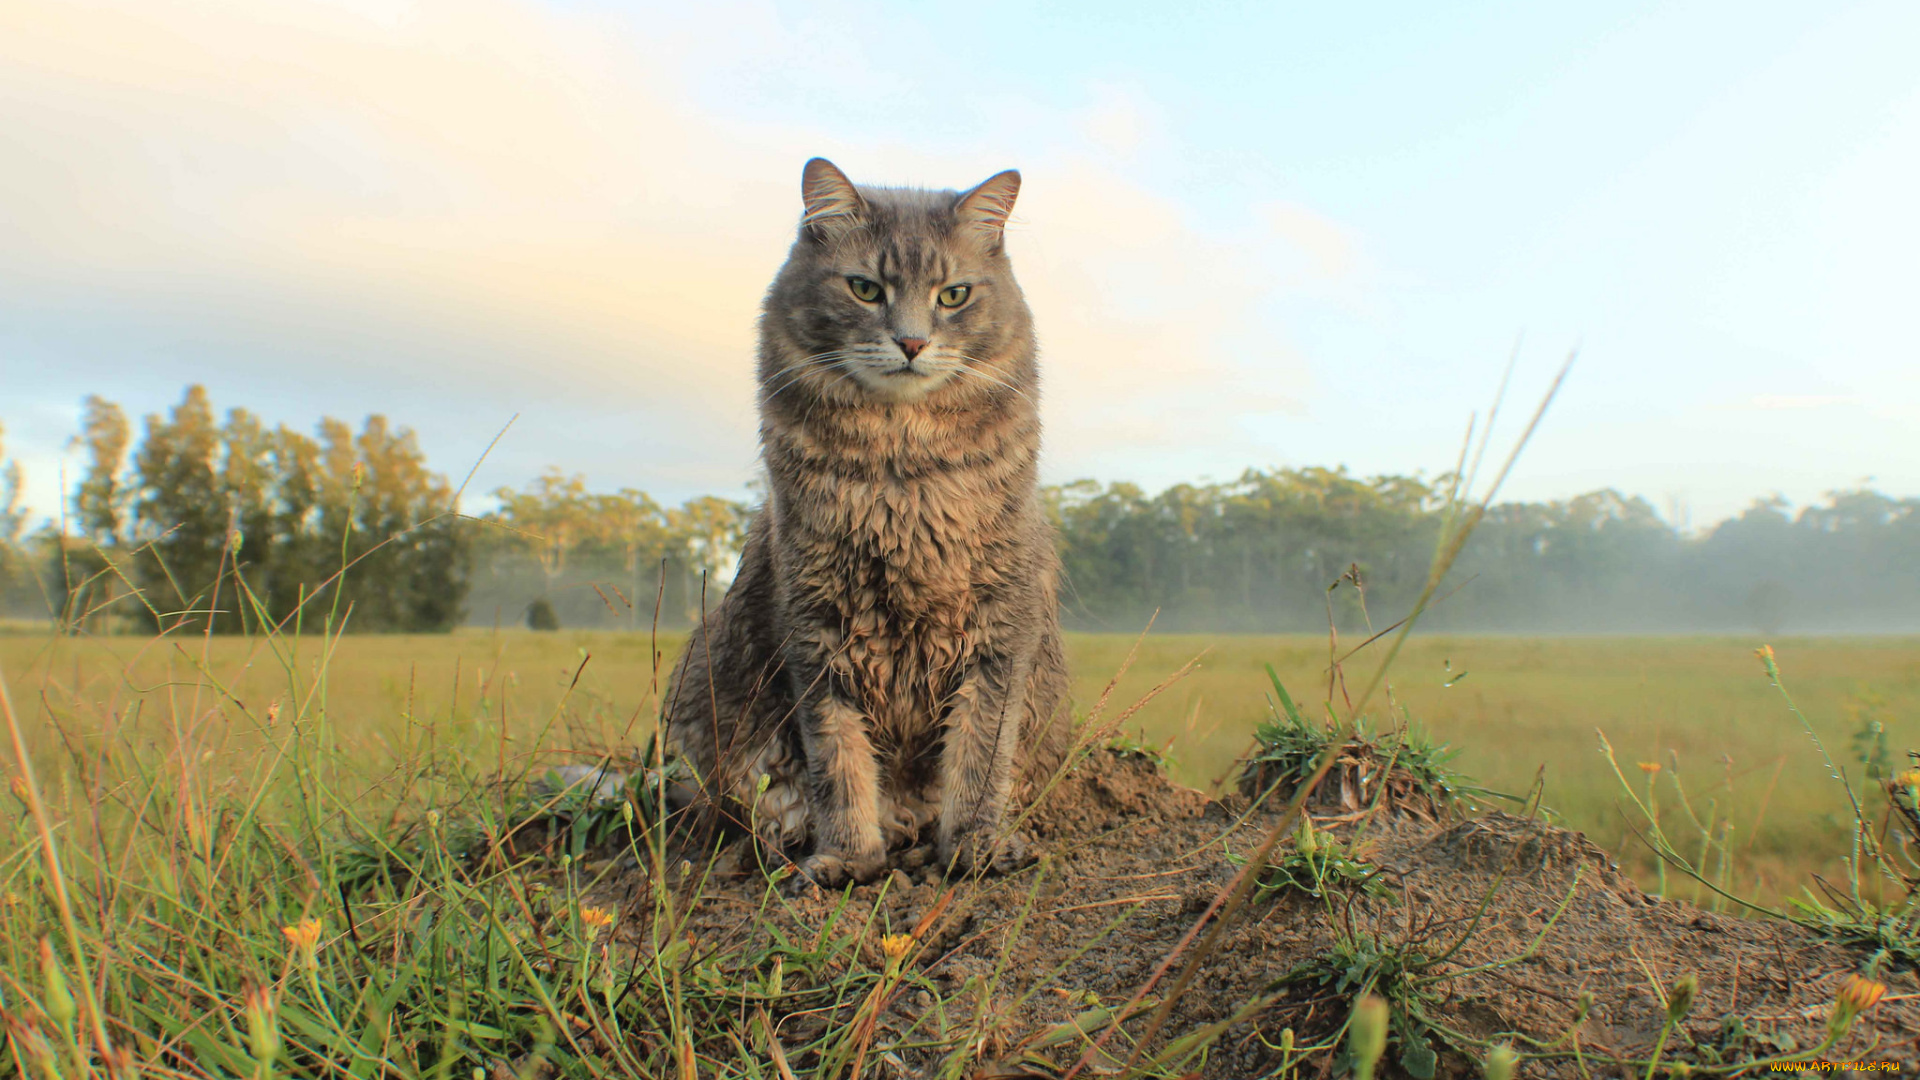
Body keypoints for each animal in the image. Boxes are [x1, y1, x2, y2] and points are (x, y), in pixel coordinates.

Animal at [664, 157, 1075, 883]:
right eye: (865, 289)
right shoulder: (817, 630)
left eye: (952, 295)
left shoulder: (1000, 630)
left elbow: (979, 758)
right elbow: (839, 763)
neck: (902, 471)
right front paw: (849, 857)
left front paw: (973, 847)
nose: (911, 341)